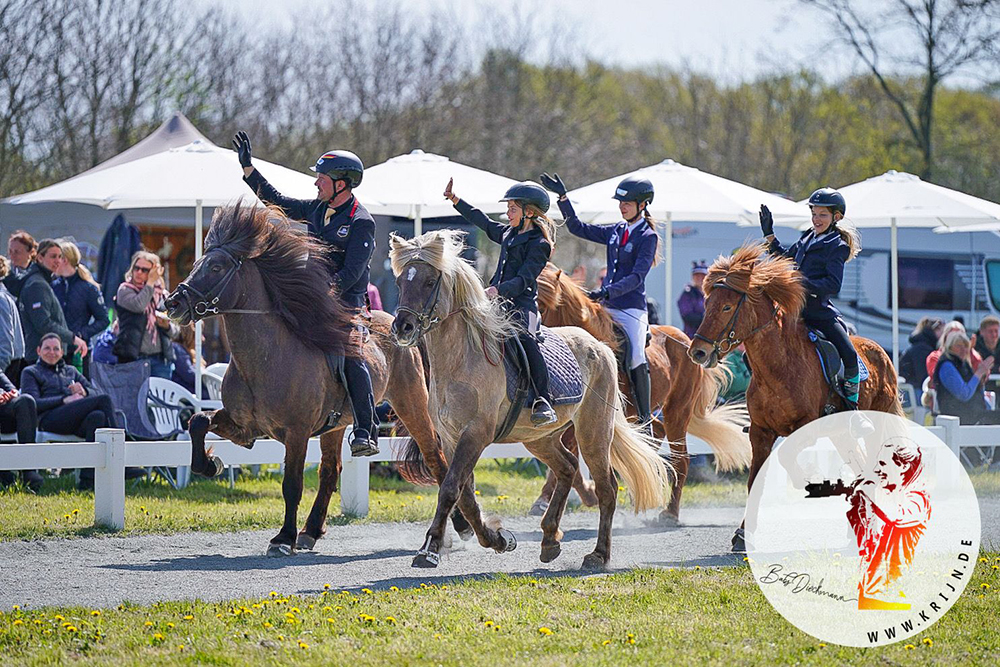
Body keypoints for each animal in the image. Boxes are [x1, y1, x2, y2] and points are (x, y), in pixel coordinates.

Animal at [532, 264, 752, 524]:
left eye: (542, 303)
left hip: (677, 409)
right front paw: (548, 499)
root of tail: (688, 341)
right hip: (639, 414)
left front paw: (587, 495)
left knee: (680, 457)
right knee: (655, 434)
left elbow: (570, 456)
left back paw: (670, 512)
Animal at [688, 248, 908, 552]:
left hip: (874, 426)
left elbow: (786, 457)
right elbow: (754, 481)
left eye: (727, 308)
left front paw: (804, 479)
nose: (698, 352)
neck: (779, 366)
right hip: (841, 434)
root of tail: (884, 355)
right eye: (707, 304)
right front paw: (743, 535)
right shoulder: (760, 432)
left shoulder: (805, 426)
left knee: (871, 469)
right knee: (862, 469)